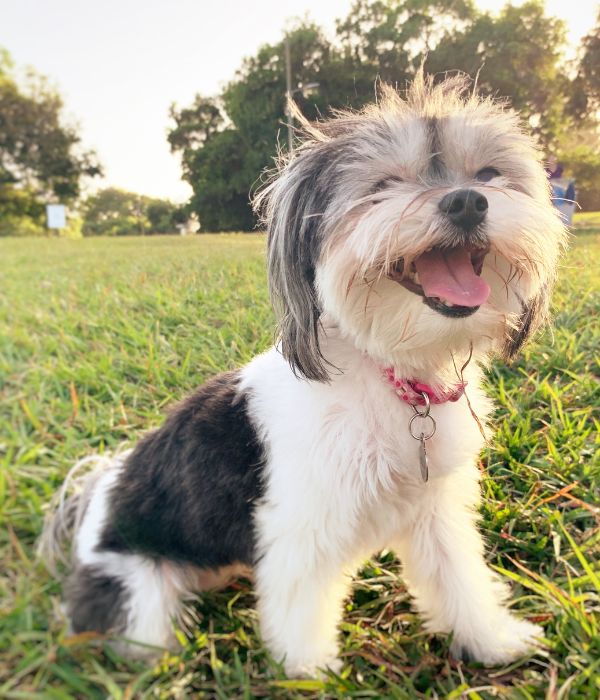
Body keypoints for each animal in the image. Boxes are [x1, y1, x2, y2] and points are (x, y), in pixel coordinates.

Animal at [38, 74, 568, 676]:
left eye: (487, 175)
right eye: (385, 184)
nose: (466, 201)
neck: (390, 374)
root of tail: (95, 497)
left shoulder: (435, 509)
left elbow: (457, 574)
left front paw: (492, 638)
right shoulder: (300, 525)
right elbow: (300, 604)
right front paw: (310, 672)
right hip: (139, 590)